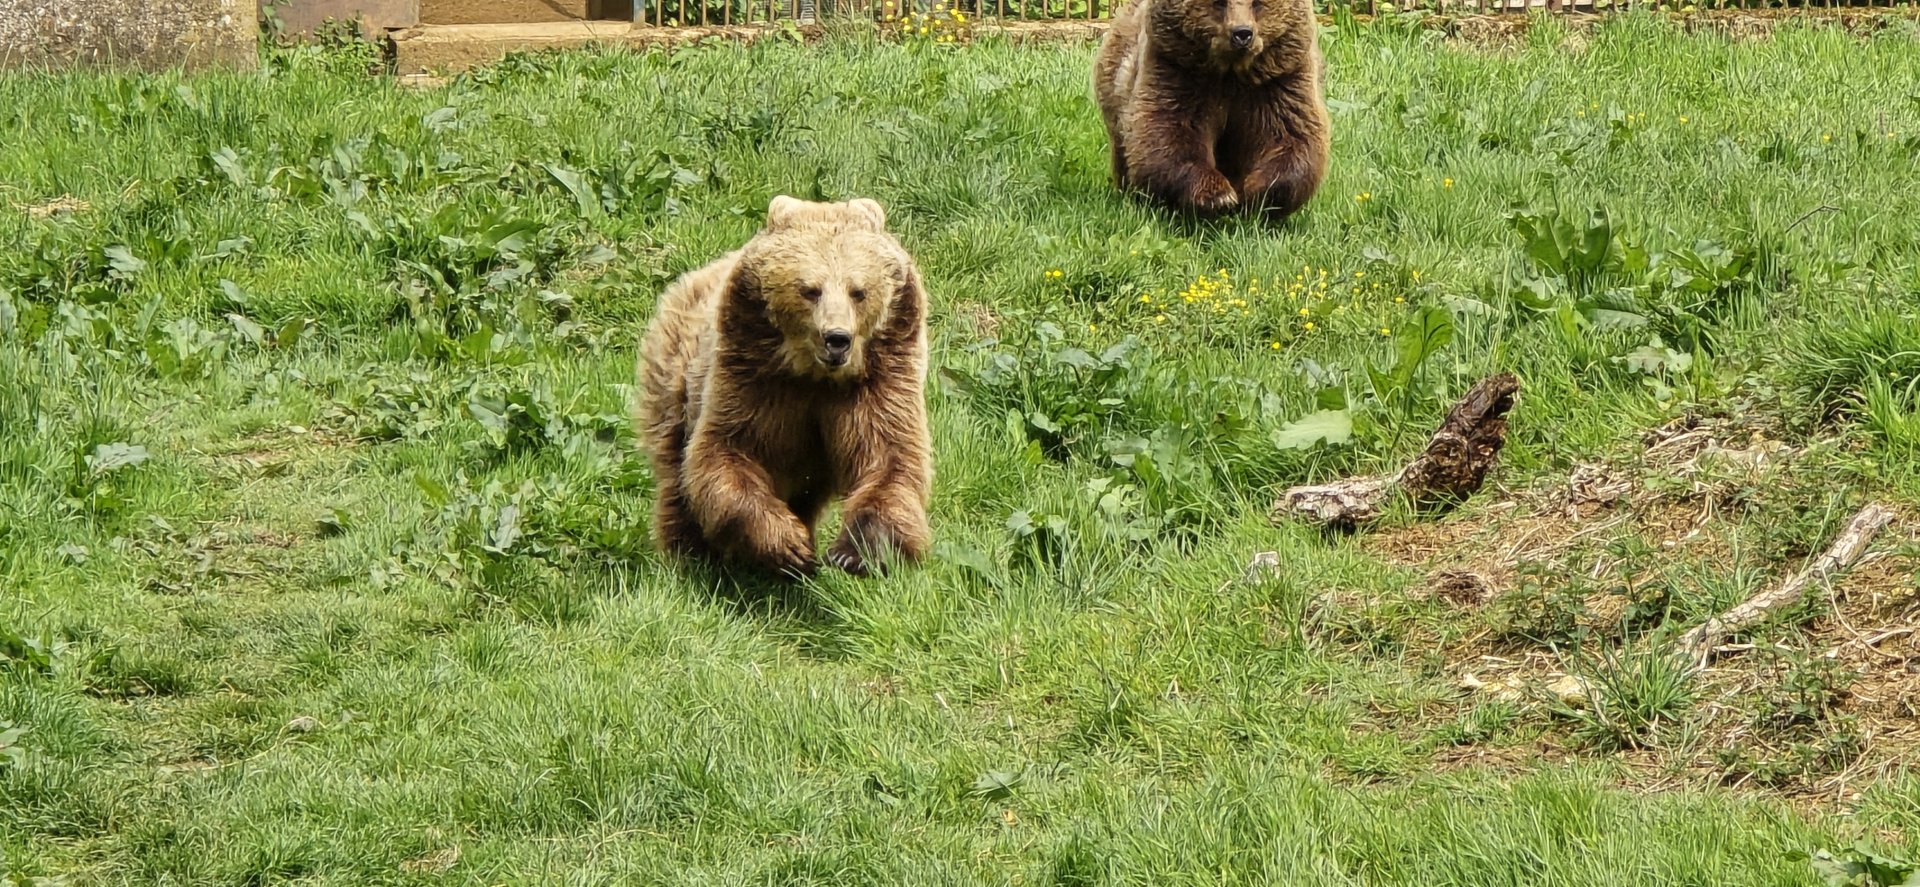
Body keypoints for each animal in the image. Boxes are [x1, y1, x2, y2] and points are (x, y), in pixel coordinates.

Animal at [635, 195, 933, 580]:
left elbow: (888, 458)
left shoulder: (879, 381)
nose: (837, 339)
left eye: (858, 291)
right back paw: (689, 554)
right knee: (675, 469)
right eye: (810, 290)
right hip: (676, 372)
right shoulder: (752, 378)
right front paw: (788, 544)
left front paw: (852, 553)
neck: (814, 376)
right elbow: (727, 453)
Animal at [1094, 0, 1331, 219]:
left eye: (1257, 4)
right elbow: (1167, 133)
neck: (1231, 74)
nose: (1242, 34)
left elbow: (1290, 136)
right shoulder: (1178, 73)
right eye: (1219, 3)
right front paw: (1219, 197)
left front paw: (1256, 193)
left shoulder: (1278, 82)